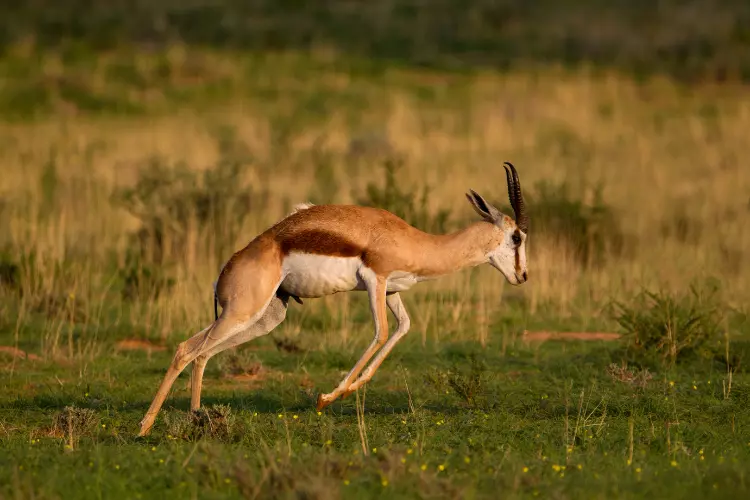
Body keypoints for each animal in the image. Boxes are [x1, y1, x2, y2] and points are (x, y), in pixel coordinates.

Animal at [138, 162, 532, 436]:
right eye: (517, 236)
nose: (523, 276)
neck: (415, 241)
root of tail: (227, 266)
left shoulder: (391, 289)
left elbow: (402, 328)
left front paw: (344, 392)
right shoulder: (375, 282)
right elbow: (381, 332)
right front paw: (326, 397)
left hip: (266, 317)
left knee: (195, 351)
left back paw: (187, 419)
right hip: (241, 312)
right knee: (190, 351)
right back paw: (154, 426)